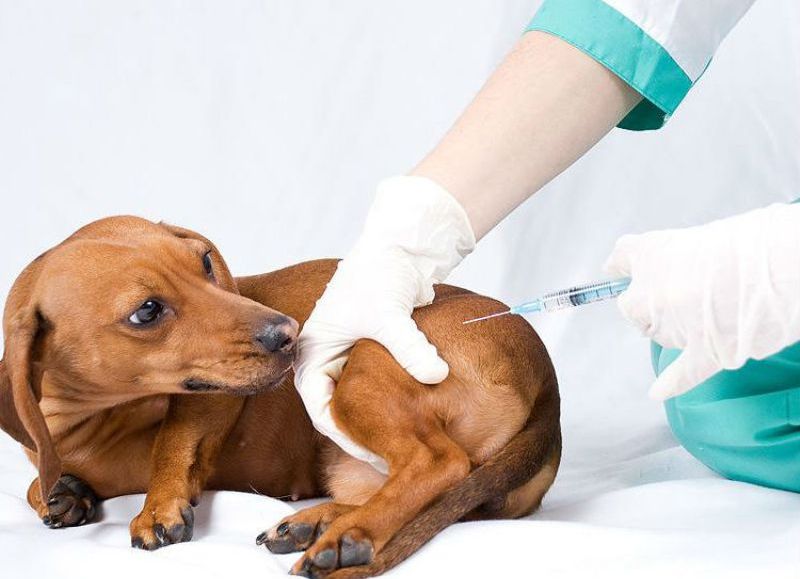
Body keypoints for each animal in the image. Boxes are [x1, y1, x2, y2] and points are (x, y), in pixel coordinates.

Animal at [0, 218, 560, 579]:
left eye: (206, 261)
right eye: (147, 311)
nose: (290, 334)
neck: (89, 421)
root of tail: (549, 390)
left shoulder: (213, 400)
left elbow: (174, 442)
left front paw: (158, 505)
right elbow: (36, 485)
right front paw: (61, 493)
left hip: (363, 368)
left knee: (439, 464)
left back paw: (347, 535)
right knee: (441, 492)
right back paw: (319, 522)